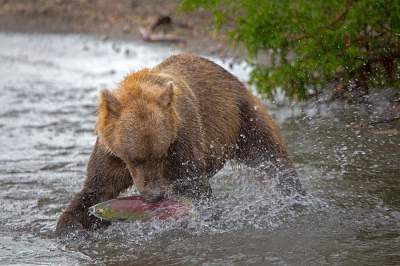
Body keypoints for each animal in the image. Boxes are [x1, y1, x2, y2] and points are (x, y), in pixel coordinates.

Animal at [54, 53, 302, 236]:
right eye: (136, 158)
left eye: (161, 155)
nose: (155, 195)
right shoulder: (112, 153)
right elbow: (96, 189)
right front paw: (71, 227)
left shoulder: (181, 142)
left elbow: (194, 187)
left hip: (243, 117)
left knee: (272, 157)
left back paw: (296, 198)